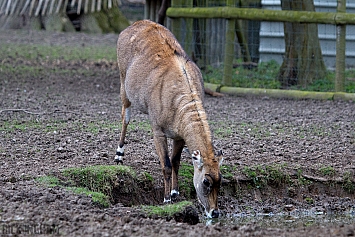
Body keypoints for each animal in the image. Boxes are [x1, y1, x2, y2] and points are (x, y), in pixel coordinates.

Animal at [115, 20, 224, 218]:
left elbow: (175, 162)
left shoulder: (180, 136)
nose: (214, 212)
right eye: (206, 181)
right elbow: (165, 164)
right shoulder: (158, 131)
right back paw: (119, 155)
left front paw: (175, 192)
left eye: (220, 179)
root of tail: (134, 24)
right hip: (123, 86)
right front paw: (166, 199)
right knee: (125, 117)